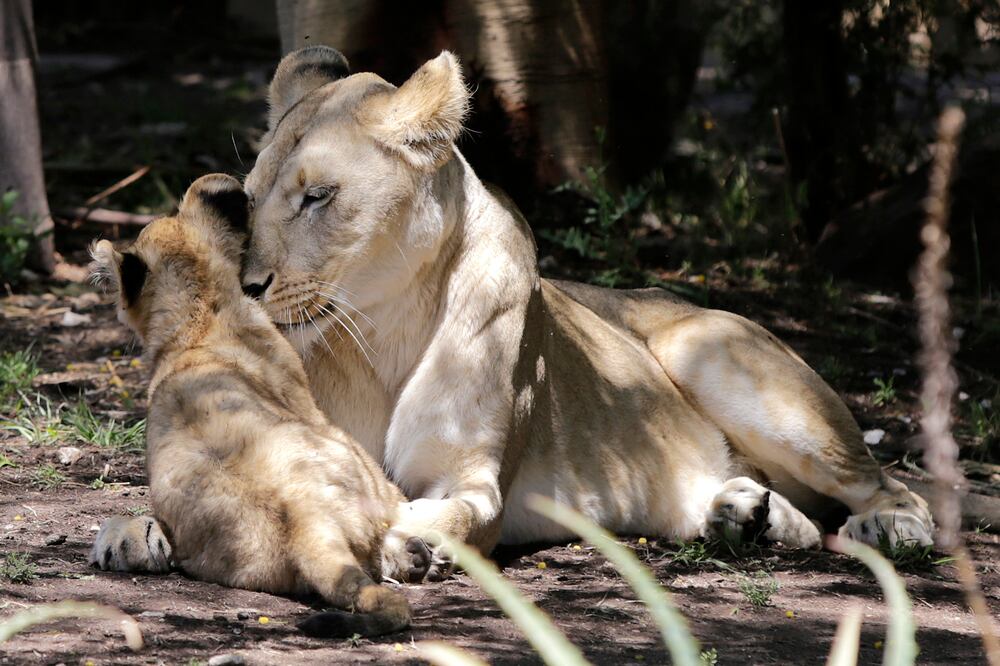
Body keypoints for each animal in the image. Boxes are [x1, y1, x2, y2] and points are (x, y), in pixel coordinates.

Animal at [94, 47, 934, 584]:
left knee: (887, 482)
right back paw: (747, 516)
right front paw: (132, 529)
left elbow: (449, 514)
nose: (248, 283)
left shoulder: (472, 480)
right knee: (790, 511)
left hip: (718, 355)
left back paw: (890, 526)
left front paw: (413, 541)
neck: (382, 329)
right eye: (251, 196)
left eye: (317, 197)